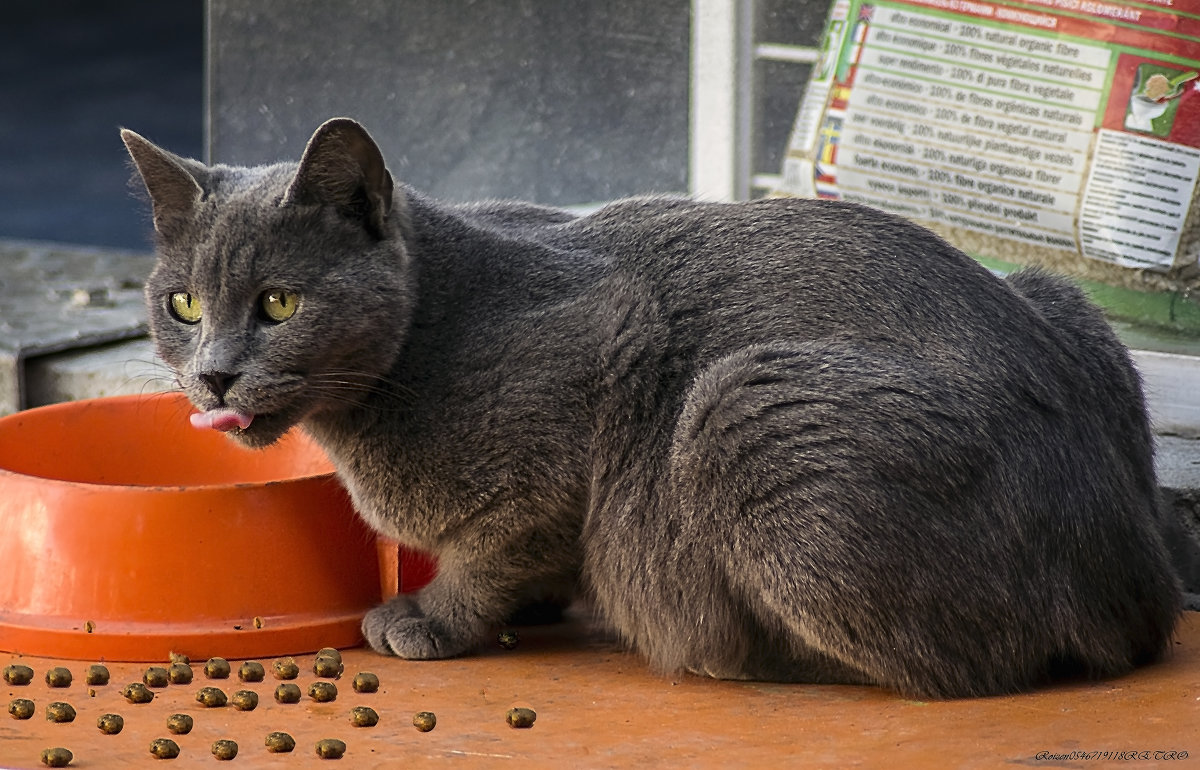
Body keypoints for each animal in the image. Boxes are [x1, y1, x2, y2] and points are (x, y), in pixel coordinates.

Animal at [124, 118, 1180, 695]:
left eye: (280, 304)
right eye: (183, 306)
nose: (214, 376)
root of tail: (1138, 576)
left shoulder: (592, 368)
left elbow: (497, 547)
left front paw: (433, 618)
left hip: (738, 406)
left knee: (968, 663)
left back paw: (723, 650)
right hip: (1063, 302)